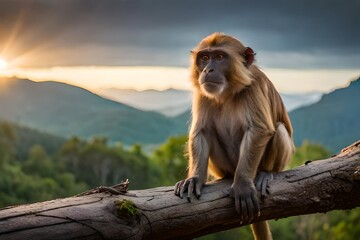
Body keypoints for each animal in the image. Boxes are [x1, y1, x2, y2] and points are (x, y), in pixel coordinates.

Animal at [174, 32, 296, 240]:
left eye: (220, 57)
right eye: (204, 57)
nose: (208, 69)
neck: (228, 91)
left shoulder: (254, 85)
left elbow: (260, 129)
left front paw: (243, 185)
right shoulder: (202, 91)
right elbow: (201, 133)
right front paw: (195, 178)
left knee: (279, 129)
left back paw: (266, 172)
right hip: (224, 166)